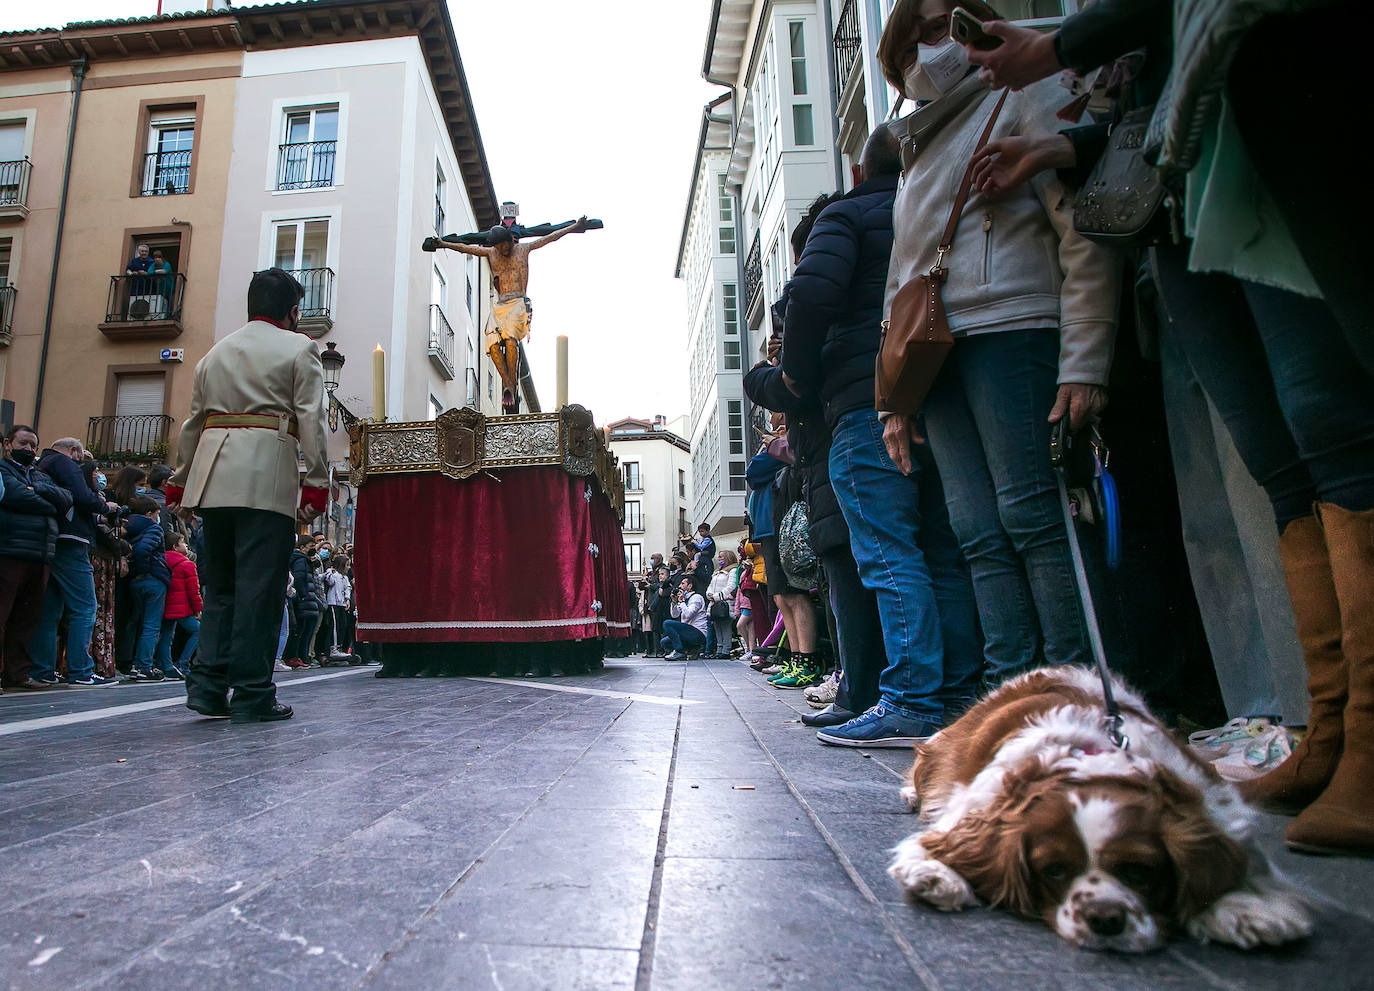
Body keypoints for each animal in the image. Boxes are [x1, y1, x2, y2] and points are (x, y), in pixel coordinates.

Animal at [884, 665, 1313, 951]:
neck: (1095, 760)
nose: (1105, 919)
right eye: (1054, 870)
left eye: (1140, 871)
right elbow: (940, 846)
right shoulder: (974, 811)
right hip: (942, 750)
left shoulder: (1212, 797)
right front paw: (936, 875)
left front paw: (1245, 906)